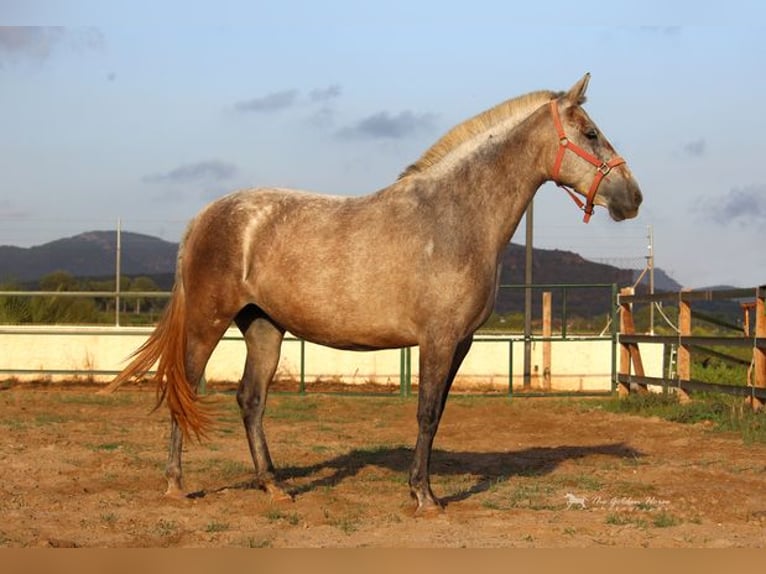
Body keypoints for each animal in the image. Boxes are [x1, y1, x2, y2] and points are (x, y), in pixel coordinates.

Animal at [111, 74, 644, 516]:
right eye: (590, 133)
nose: (633, 197)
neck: (455, 216)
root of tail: (203, 217)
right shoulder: (438, 339)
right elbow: (426, 413)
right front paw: (423, 497)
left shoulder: (460, 342)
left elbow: (438, 413)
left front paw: (424, 490)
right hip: (208, 320)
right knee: (185, 388)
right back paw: (177, 485)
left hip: (264, 326)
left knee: (251, 400)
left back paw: (274, 486)